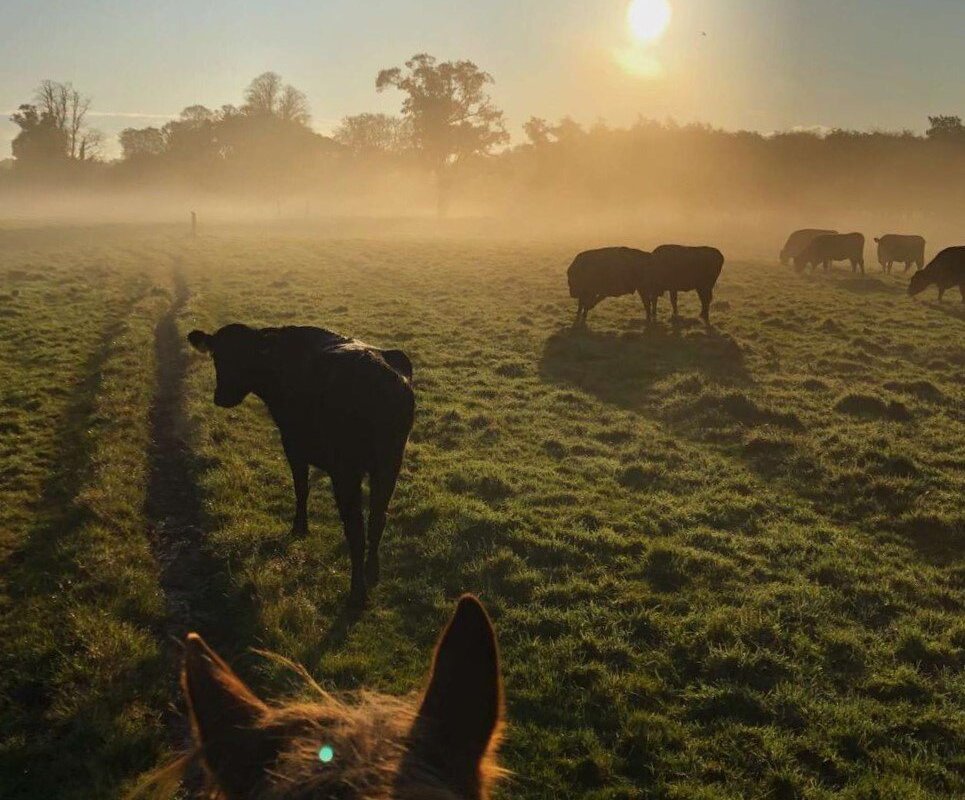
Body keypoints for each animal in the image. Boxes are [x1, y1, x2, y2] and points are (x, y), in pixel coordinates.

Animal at [189, 324, 414, 608]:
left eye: (245, 357)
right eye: (216, 356)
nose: (221, 397)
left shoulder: (293, 445)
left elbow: (301, 488)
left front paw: (299, 528)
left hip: (347, 471)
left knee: (356, 530)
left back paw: (357, 594)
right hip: (389, 463)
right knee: (377, 519)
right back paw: (372, 573)